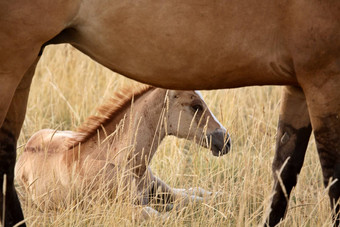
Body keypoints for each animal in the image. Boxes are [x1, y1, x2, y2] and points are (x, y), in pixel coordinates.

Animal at [14, 84, 230, 219]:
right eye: (196, 106)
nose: (226, 141)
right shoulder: (109, 208)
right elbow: (158, 214)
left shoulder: (160, 190)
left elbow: (196, 198)